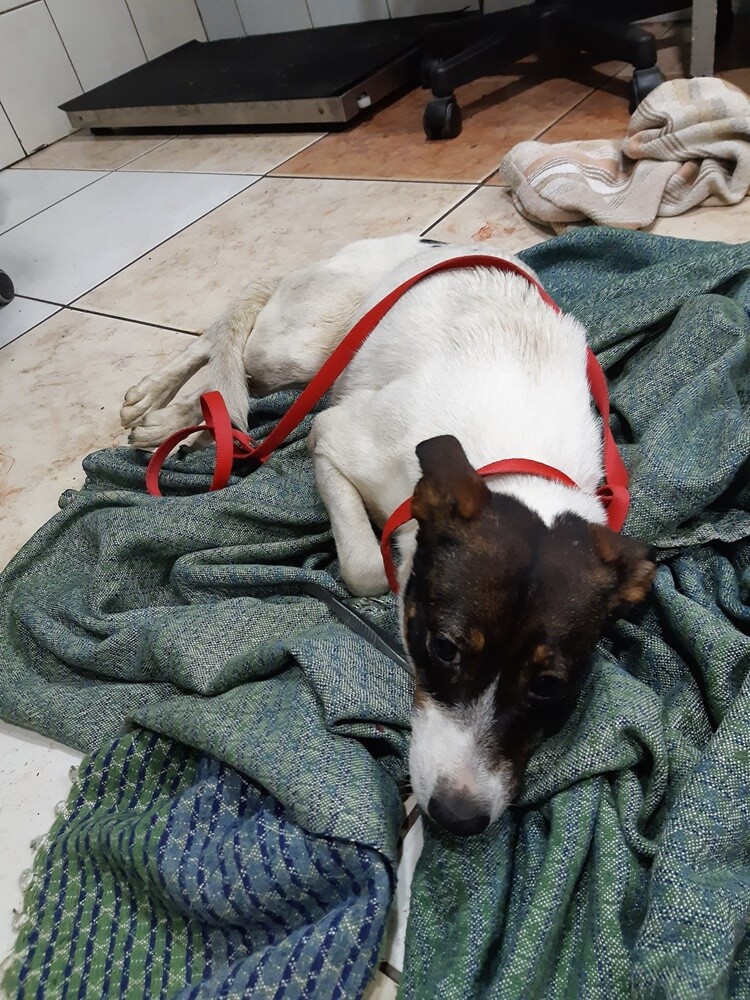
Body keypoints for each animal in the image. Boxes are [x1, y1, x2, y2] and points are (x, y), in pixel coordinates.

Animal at [122, 234, 655, 836]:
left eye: (549, 684)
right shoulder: (336, 438)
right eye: (443, 649)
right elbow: (368, 568)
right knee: (223, 345)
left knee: (230, 380)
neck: (517, 458)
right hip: (299, 346)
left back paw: (182, 426)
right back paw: (157, 401)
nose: (456, 818)